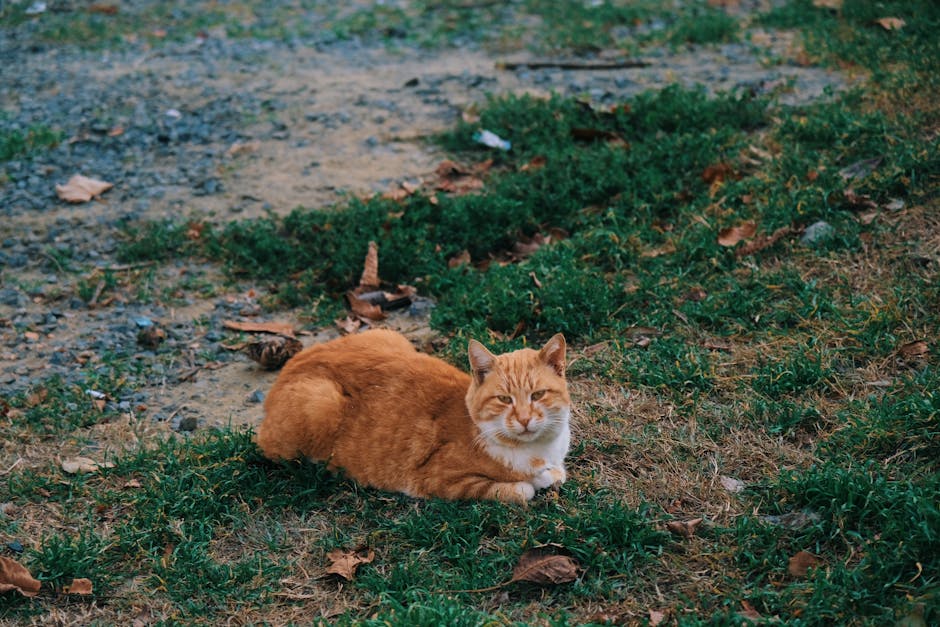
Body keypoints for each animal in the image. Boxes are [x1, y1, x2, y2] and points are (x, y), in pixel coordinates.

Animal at [253, 328, 568, 506]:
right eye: (504, 399)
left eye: (538, 395)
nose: (525, 419)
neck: (537, 450)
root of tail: (292, 362)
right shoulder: (443, 481)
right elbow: (520, 490)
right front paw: (533, 481)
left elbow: (556, 474)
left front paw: (548, 475)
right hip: (318, 402)